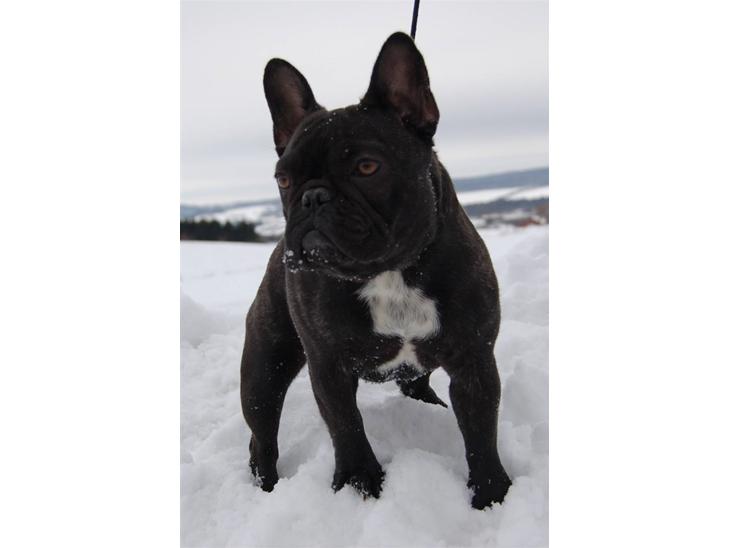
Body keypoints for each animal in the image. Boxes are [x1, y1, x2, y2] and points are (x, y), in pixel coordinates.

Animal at [240, 32, 511, 509]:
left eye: (367, 167)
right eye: (283, 180)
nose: (312, 198)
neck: (390, 272)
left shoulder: (474, 361)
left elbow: (481, 432)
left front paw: (492, 495)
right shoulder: (328, 367)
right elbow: (346, 426)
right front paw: (358, 483)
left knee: (417, 387)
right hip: (264, 368)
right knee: (262, 437)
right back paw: (267, 486)